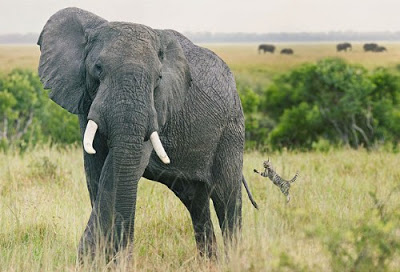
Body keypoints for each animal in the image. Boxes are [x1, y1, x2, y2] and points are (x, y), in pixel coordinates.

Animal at [36, 7, 256, 260]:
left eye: (158, 78)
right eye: (98, 68)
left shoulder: (157, 108)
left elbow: (115, 171)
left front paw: (98, 258)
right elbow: (97, 172)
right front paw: (108, 259)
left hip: (231, 129)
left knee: (226, 199)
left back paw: (234, 260)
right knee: (196, 202)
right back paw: (210, 262)